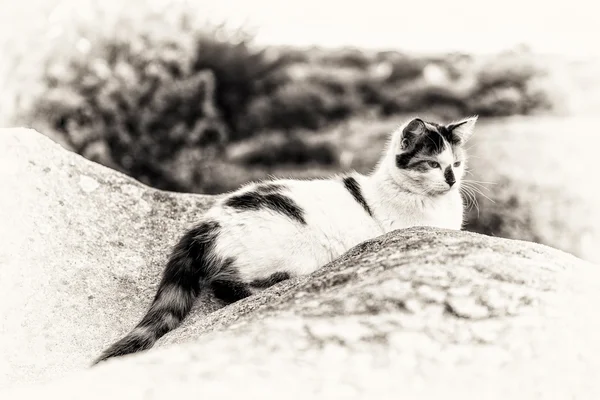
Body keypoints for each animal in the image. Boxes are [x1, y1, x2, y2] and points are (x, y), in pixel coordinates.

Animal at [92, 114, 478, 364]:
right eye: (431, 164)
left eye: (457, 164)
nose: (451, 180)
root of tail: (207, 222)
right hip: (288, 248)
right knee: (225, 283)